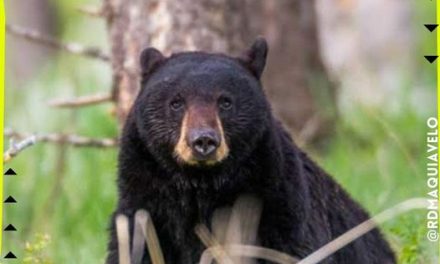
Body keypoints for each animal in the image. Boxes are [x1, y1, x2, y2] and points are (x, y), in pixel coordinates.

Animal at [105, 37, 396, 264]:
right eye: (176, 102)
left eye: (225, 101)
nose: (203, 141)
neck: (201, 186)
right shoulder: (145, 203)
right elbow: (133, 247)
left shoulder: (279, 202)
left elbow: (292, 248)